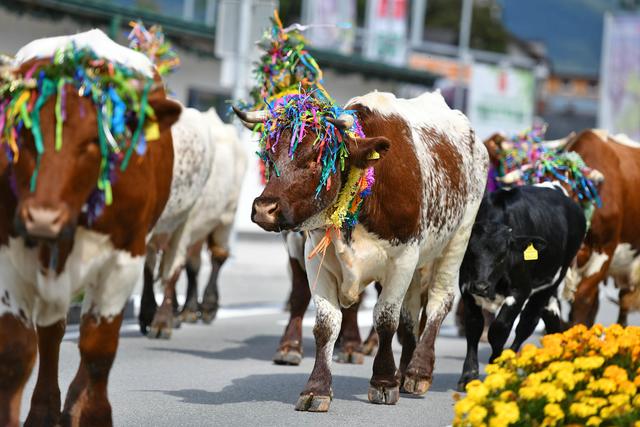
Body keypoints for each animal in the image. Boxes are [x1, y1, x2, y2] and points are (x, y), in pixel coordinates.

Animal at [0, 28, 181, 426]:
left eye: (91, 144)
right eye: (25, 136)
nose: (42, 218)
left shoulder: (124, 259)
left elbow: (98, 348)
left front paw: (91, 413)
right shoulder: (8, 250)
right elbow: (18, 350)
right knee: (51, 334)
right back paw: (45, 409)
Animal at [140, 108, 248, 340]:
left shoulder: (183, 225)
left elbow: (172, 270)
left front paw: (161, 322)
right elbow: (149, 269)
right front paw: (148, 313)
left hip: (226, 217)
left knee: (217, 257)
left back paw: (207, 306)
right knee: (193, 263)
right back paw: (187, 310)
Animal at [232, 92, 488, 412]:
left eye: (315, 160)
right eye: (269, 155)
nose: (264, 209)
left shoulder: (403, 258)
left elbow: (386, 319)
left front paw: (383, 382)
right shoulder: (317, 257)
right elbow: (326, 324)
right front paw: (317, 388)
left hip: (458, 238)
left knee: (439, 301)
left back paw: (418, 371)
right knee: (411, 312)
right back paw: (405, 370)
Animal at [456, 186, 584, 392]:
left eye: (502, 256)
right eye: (470, 253)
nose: (481, 286)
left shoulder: (520, 291)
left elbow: (499, 329)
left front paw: (497, 366)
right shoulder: (467, 290)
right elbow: (474, 328)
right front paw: (469, 375)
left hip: (553, 279)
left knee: (527, 323)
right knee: (550, 316)